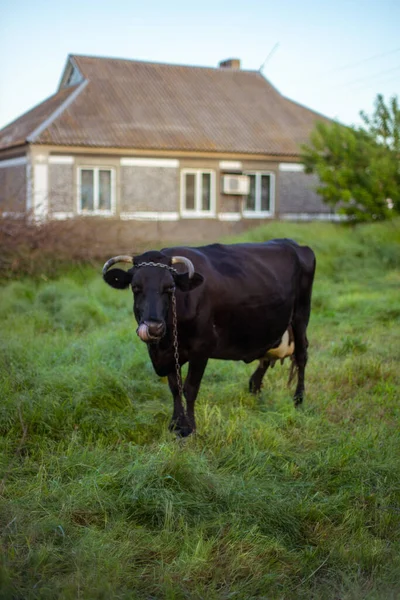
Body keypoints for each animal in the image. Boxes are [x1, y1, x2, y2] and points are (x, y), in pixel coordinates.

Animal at [103, 239, 316, 436]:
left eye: (170, 287)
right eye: (135, 287)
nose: (154, 328)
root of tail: (292, 243)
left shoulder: (202, 348)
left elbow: (190, 388)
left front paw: (189, 428)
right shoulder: (170, 352)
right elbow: (174, 387)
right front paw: (175, 424)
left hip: (301, 315)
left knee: (302, 355)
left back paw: (298, 400)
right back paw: (254, 388)